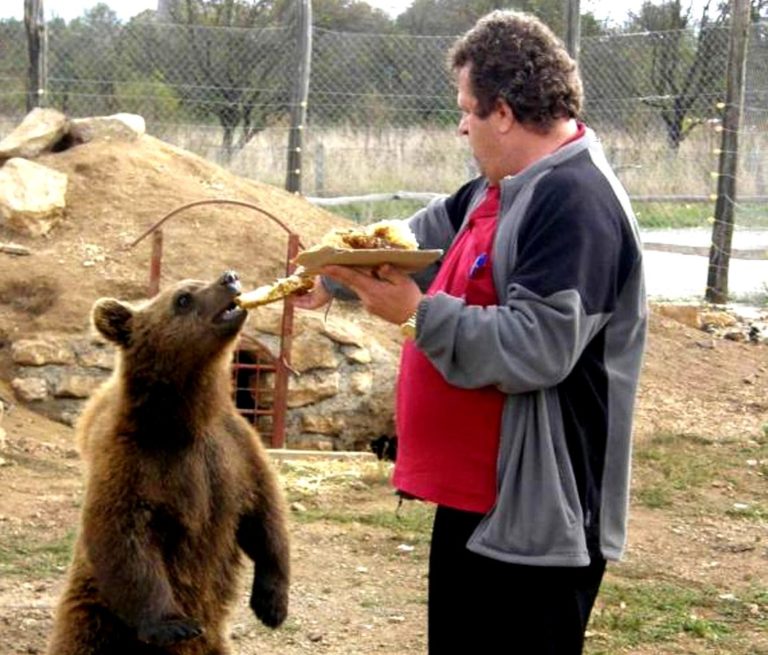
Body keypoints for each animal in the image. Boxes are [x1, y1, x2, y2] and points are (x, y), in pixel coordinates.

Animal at [46, 270, 292, 652]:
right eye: (183, 298)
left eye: (197, 282)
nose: (229, 277)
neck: (186, 418)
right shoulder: (135, 462)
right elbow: (125, 537)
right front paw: (173, 624)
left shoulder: (234, 449)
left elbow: (265, 513)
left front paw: (272, 603)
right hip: (95, 618)